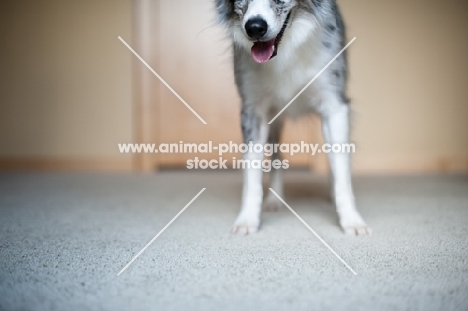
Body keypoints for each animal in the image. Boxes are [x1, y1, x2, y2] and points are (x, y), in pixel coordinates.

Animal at [215, 0, 370, 235]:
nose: (255, 28)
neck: (286, 49)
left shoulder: (335, 107)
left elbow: (341, 168)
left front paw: (351, 220)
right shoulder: (253, 111)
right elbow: (252, 168)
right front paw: (247, 219)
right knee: (276, 157)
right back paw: (274, 200)